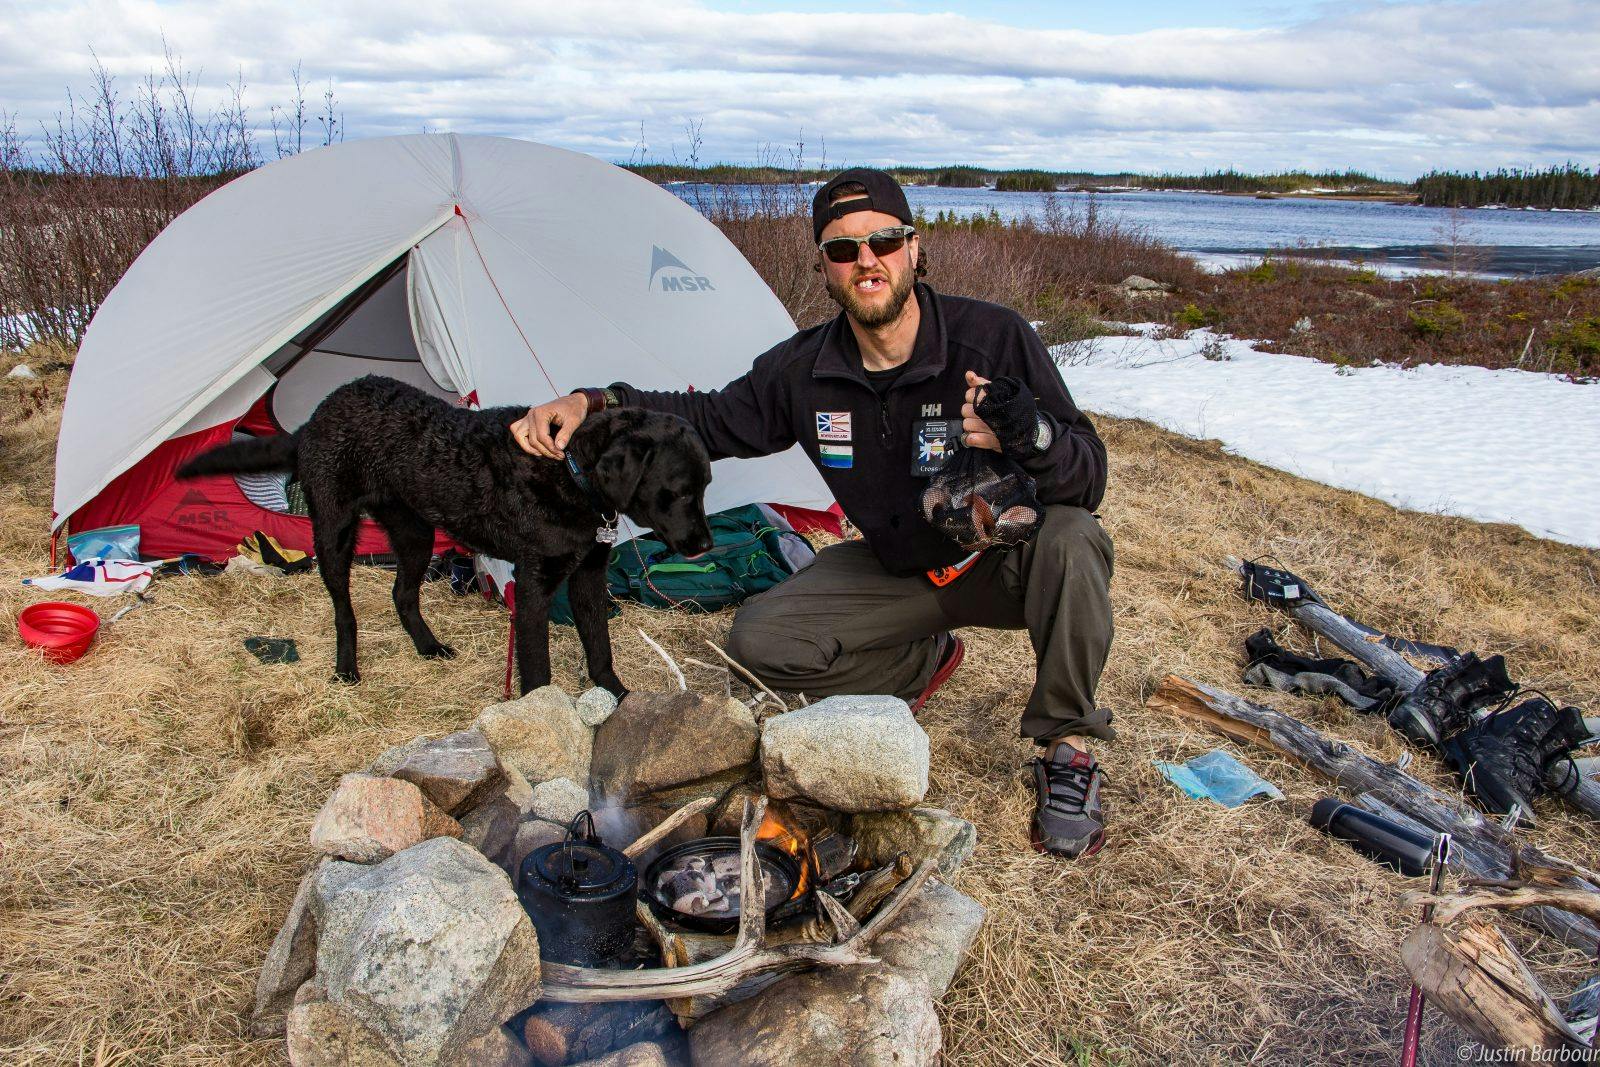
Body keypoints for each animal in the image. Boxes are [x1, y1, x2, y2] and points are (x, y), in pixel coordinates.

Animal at [175, 377, 713, 700]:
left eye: (706, 486)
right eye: (681, 491)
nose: (706, 546)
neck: (570, 470)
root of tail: (314, 419)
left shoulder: (588, 574)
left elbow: (600, 649)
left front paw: (621, 700)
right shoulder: (534, 585)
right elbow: (537, 667)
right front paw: (544, 712)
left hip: (414, 532)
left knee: (402, 593)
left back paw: (429, 648)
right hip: (334, 532)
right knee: (344, 609)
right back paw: (347, 669)